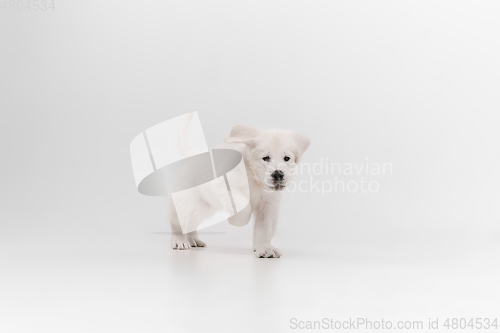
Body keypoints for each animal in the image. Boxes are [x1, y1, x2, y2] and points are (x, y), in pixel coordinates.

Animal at [170, 124, 308, 256]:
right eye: (266, 158)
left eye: (286, 158)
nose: (278, 174)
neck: (255, 177)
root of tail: (192, 153)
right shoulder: (223, 185)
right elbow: (244, 207)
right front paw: (234, 220)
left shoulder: (268, 205)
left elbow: (265, 228)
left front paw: (265, 248)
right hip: (185, 202)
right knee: (177, 222)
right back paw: (180, 241)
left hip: (205, 207)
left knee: (192, 222)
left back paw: (193, 240)